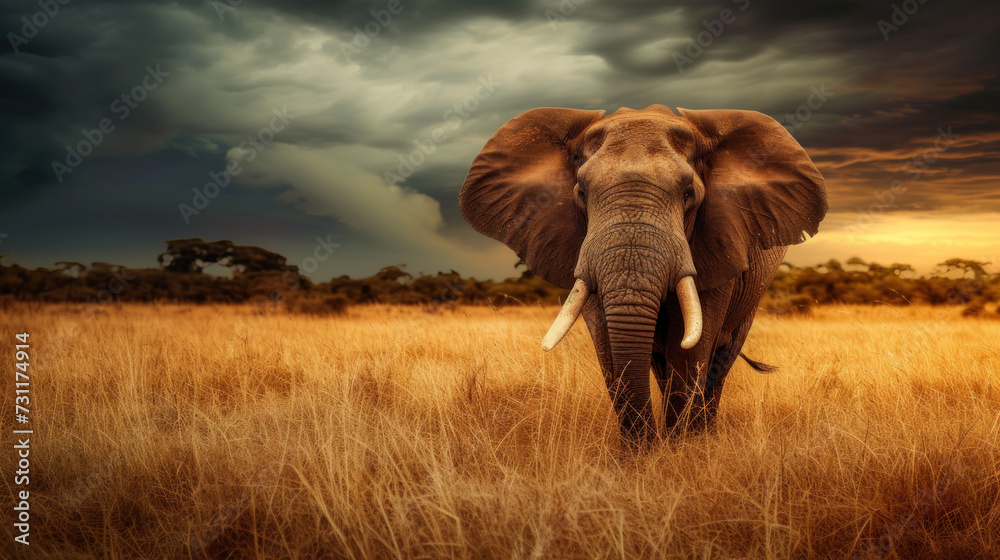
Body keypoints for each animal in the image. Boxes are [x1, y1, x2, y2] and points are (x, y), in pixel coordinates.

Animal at [459, 104, 827, 445]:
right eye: (581, 193)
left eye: (689, 194)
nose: (648, 447)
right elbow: (608, 346)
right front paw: (640, 457)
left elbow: (690, 350)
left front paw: (681, 452)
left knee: (722, 357)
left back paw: (705, 434)